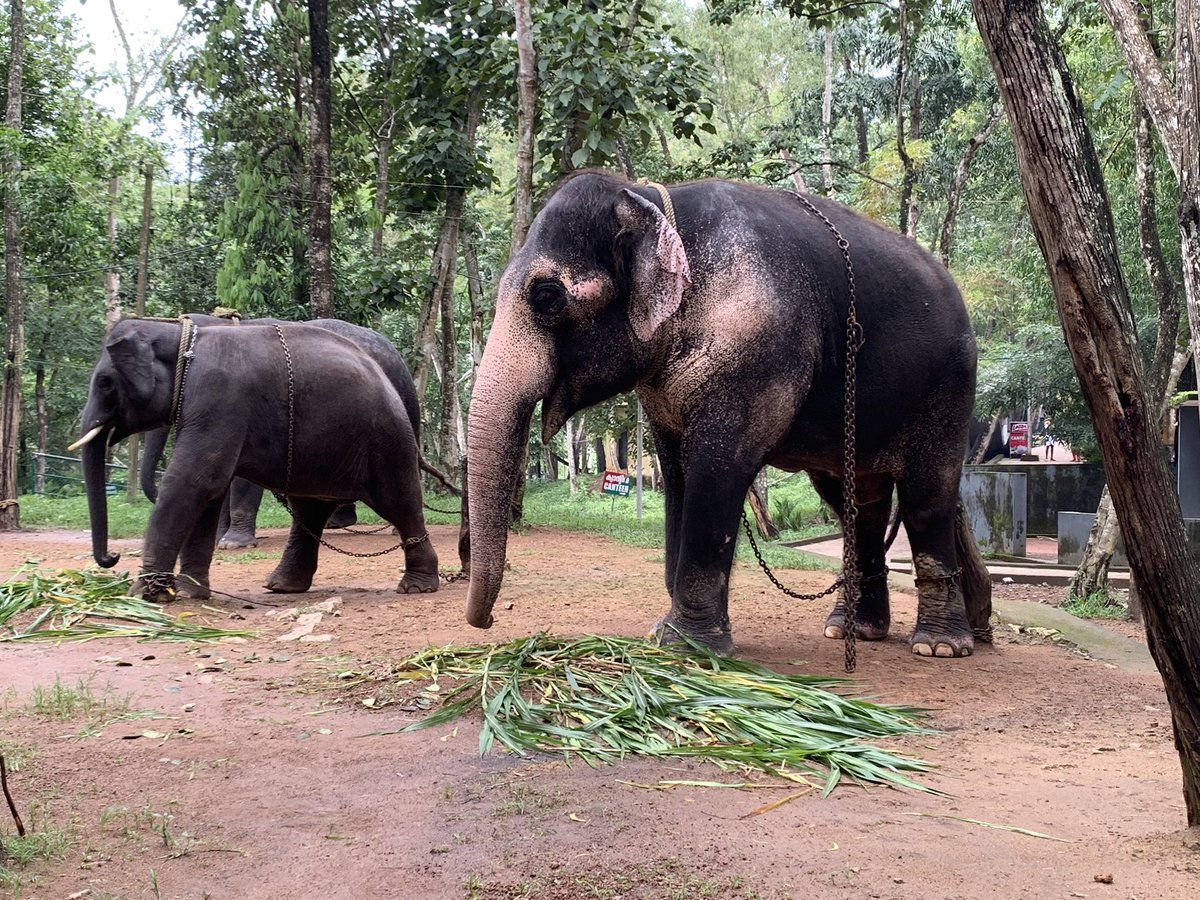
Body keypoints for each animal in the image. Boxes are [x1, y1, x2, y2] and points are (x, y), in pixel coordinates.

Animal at [465, 170, 991, 659]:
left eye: (547, 296)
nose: (487, 621)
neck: (650, 199)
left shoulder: (758, 350)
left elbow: (717, 468)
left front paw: (688, 647)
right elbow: (676, 476)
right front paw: (665, 634)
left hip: (949, 387)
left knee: (927, 492)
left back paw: (939, 646)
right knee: (854, 502)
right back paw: (853, 630)